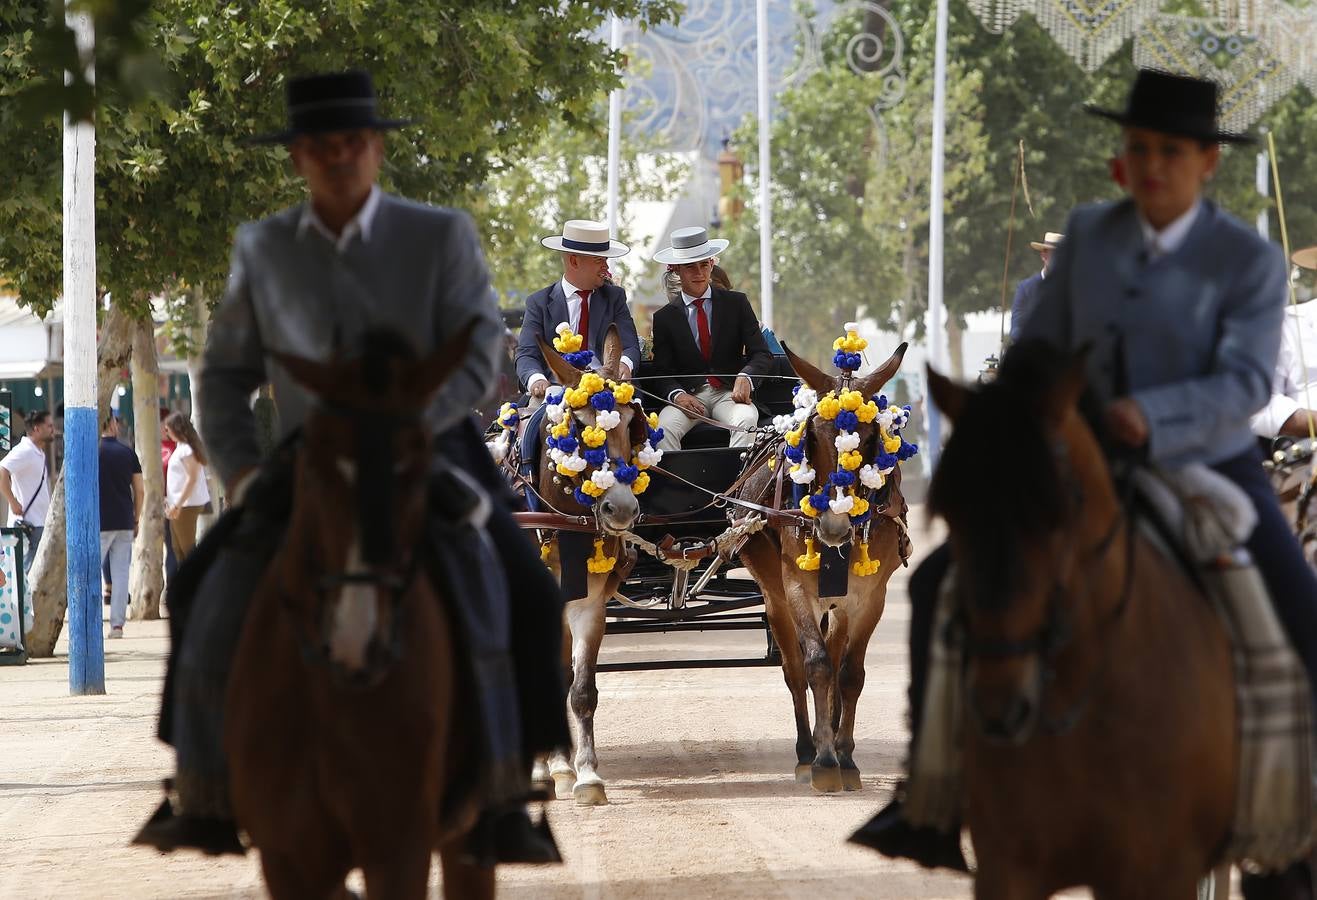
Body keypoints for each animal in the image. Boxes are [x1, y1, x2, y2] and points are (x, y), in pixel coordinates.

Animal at [524, 326, 647, 806]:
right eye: (577, 426)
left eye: (633, 423)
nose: (621, 508)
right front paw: (540, 774)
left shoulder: (589, 606)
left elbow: (581, 691)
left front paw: (588, 775)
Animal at [732, 342, 916, 790]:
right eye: (812, 436)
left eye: (869, 439)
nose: (833, 525)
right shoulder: (796, 588)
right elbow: (814, 665)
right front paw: (824, 761)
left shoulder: (869, 598)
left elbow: (849, 673)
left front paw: (845, 756)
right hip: (776, 599)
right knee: (795, 669)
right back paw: (806, 751)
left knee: (835, 659)